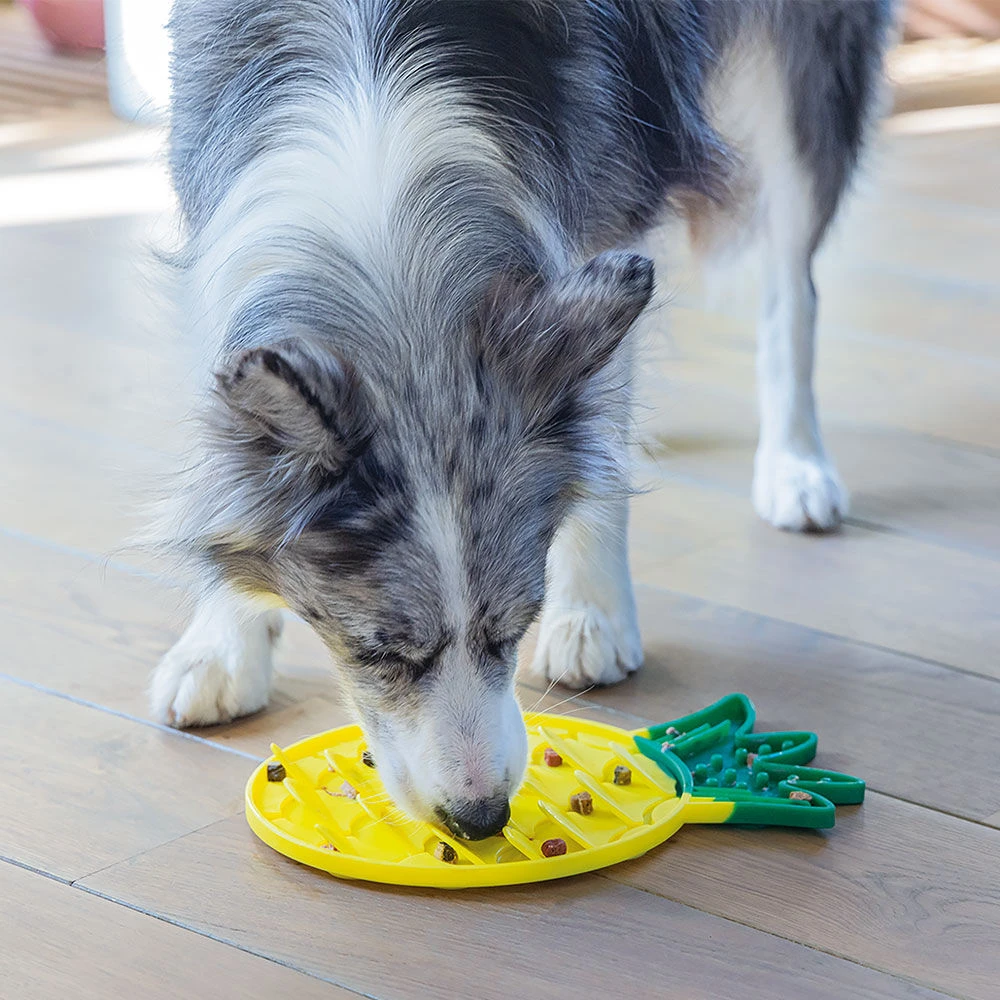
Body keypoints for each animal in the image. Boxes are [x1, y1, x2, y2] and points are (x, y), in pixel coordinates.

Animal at [151, 0, 893, 840]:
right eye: (381, 655)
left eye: (514, 628)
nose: (479, 818)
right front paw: (220, 649)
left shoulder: (609, 180)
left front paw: (592, 620)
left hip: (806, 74)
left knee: (792, 279)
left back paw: (797, 468)